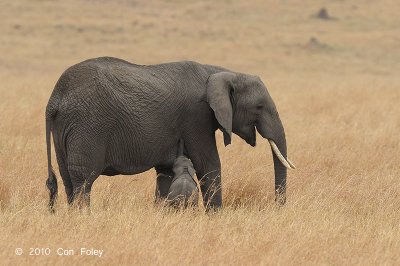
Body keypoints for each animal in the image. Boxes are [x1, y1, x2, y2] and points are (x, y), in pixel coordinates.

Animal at [45, 56, 296, 212]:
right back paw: (84, 217)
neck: (221, 72)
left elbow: (165, 173)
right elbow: (208, 164)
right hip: (86, 125)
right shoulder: (196, 117)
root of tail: (55, 99)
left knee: (68, 178)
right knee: (83, 178)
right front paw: (216, 217)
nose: (278, 207)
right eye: (259, 107)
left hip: (64, 128)